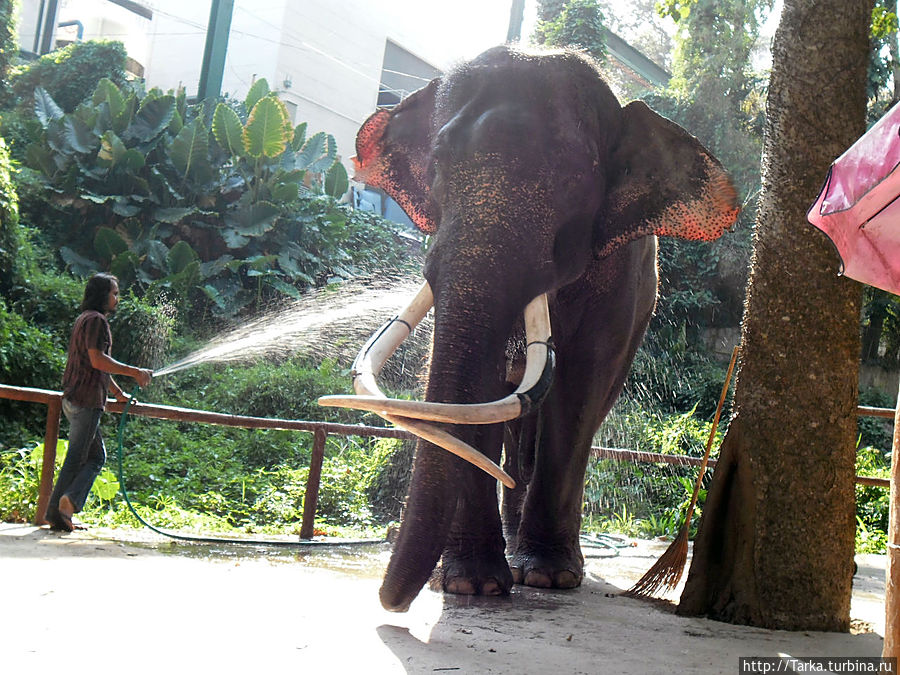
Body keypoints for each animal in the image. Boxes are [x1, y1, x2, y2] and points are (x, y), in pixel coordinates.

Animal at [316, 43, 740, 612]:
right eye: (439, 164)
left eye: (572, 179)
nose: (392, 603)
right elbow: (474, 393)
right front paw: (469, 584)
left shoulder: (619, 281)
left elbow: (579, 387)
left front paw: (547, 577)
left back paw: (536, 558)